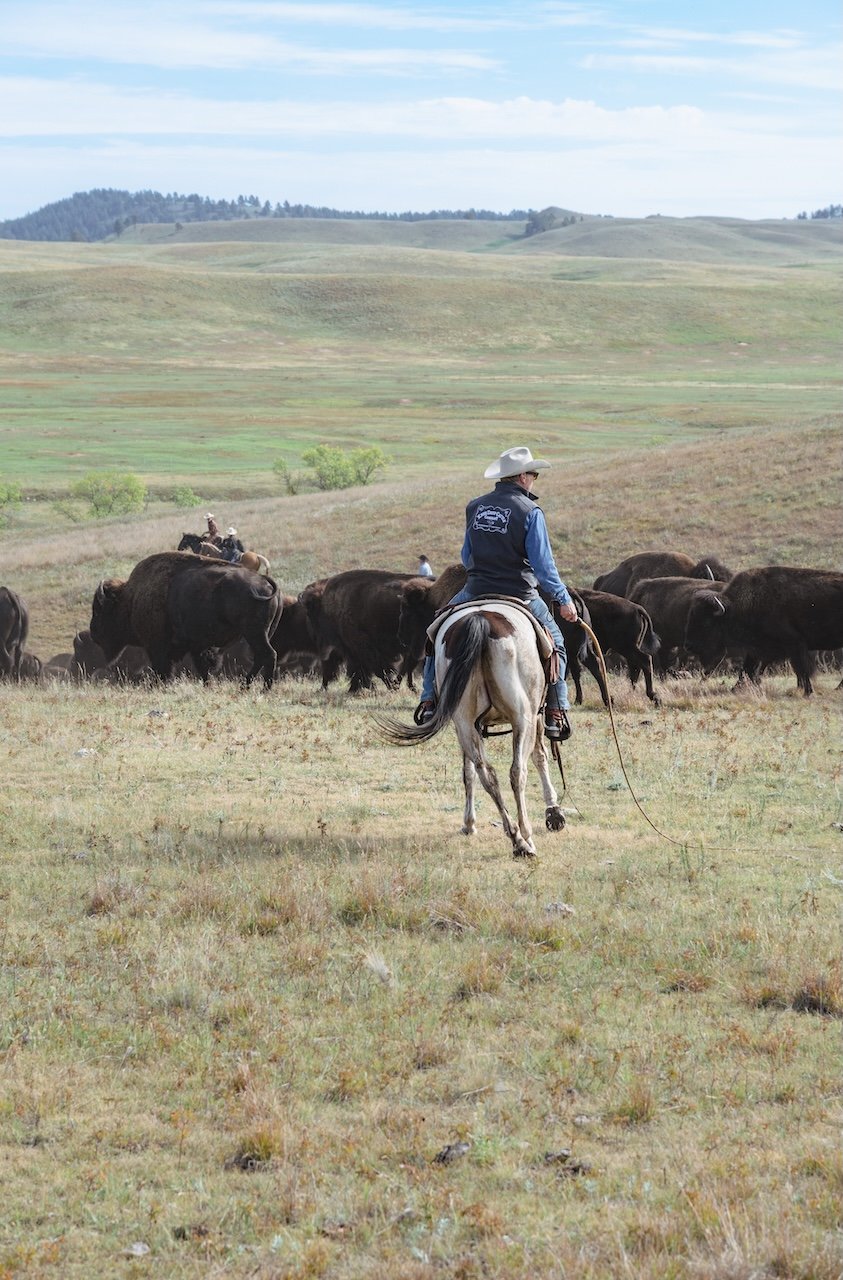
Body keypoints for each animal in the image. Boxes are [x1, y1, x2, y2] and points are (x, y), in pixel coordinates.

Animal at [89, 552, 282, 687]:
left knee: (268, 654)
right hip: (263, 632)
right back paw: (245, 686)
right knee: (261, 657)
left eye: (99, 611)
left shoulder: (157, 647)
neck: (130, 599)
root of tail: (263, 580)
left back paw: (263, 689)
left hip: (254, 633)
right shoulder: (197, 646)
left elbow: (163, 670)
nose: (93, 632)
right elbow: (202, 668)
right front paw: (207, 686)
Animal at [684, 566, 843, 697]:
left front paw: (807, 692)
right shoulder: (757, 650)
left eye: (706, 623)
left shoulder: (795, 645)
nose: (689, 645)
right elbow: (747, 669)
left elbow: (802, 669)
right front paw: (735, 689)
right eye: (691, 616)